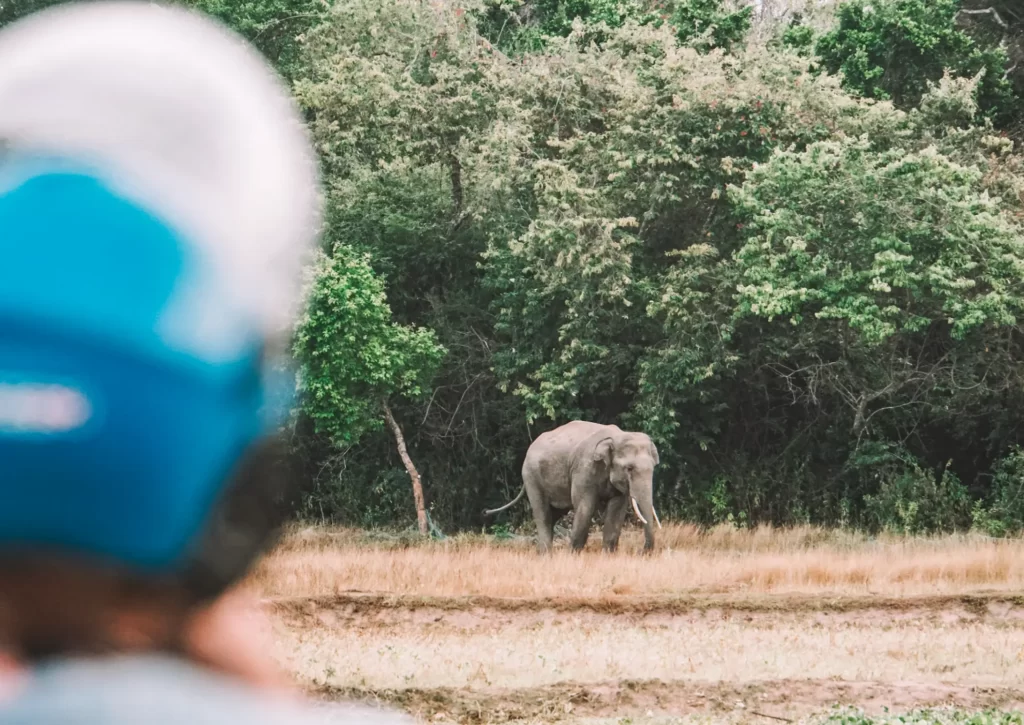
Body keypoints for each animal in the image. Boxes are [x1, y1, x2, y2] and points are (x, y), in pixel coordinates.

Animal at [481, 421, 659, 552]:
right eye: (629, 468)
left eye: (653, 467)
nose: (640, 551)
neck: (616, 436)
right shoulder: (583, 470)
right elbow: (585, 507)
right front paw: (572, 556)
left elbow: (617, 510)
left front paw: (608, 555)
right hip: (531, 476)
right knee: (542, 513)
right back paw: (546, 556)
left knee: (553, 515)